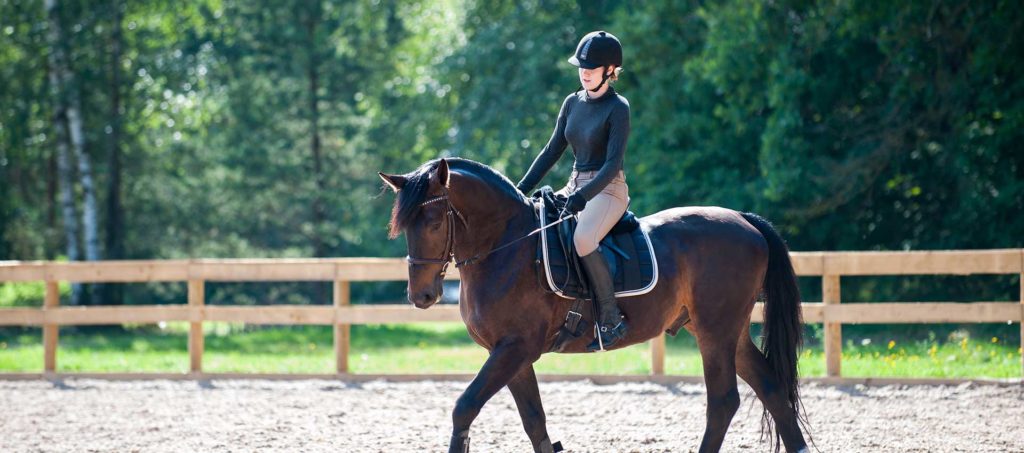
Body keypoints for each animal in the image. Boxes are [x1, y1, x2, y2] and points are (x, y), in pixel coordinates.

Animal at [378, 157, 812, 453]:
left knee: (723, 401)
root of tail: (744, 220)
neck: (508, 246)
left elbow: (464, 407)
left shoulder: (515, 348)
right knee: (771, 387)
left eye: (435, 222)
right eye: (401, 226)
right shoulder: (508, 353)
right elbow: (534, 421)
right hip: (728, 333)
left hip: (715, 332)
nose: (421, 296)